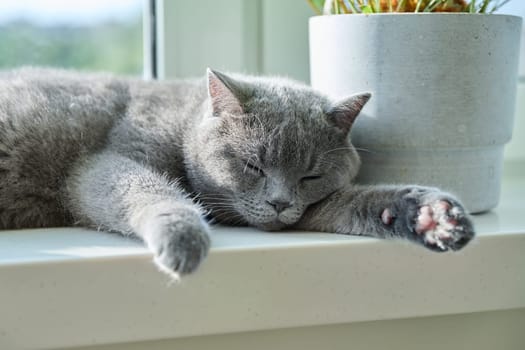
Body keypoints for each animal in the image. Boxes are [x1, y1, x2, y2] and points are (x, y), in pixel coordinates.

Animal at [0, 67, 472, 276]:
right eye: (252, 165)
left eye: (310, 176)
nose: (279, 202)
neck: (185, 117)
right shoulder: (107, 161)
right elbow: (145, 187)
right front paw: (183, 237)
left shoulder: (305, 209)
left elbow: (352, 203)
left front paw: (431, 217)